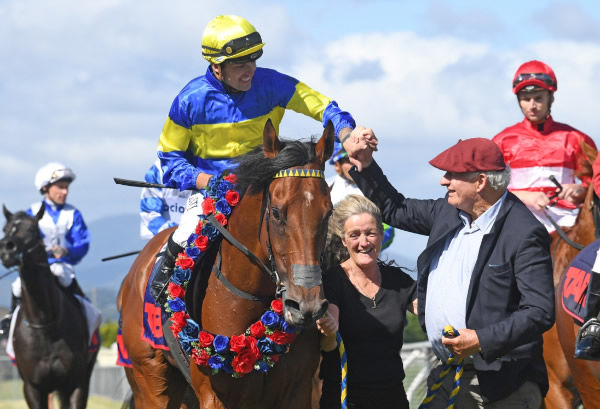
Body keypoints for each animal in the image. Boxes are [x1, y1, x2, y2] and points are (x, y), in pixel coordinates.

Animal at [0, 204, 98, 408]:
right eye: (5, 229)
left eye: (32, 229)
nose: (6, 248)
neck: (45, 325)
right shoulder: (33, 388)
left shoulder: (76, 384)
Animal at [117, 118, 332, 408]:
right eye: (276, 213)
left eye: (328, 212)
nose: (307, 307)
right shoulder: (215, 395)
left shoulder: (297, 390)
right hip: (150, 379)